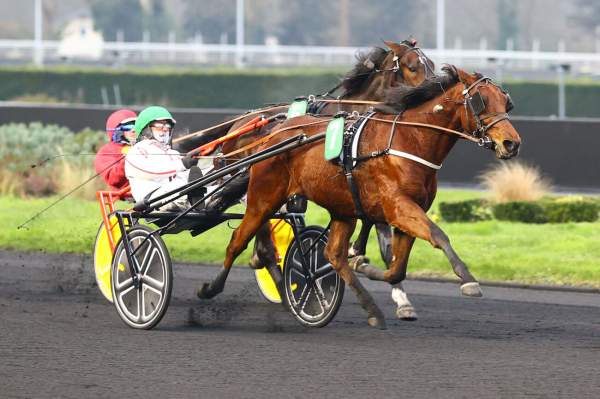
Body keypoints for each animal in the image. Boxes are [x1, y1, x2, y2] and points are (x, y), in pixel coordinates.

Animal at [197, 65, 520, 330]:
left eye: (506, 102)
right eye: (479, 100)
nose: (511, 143)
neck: (407, 141)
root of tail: (275, 133)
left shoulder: (403, 213)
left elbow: (395, 268)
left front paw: (368, 269)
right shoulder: (398, 206)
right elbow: (439, 235)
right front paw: (468, 280)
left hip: (342, 210)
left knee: (333, 255)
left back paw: (369, 308)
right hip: (264, 198)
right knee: (239, 240)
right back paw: (211, 288)